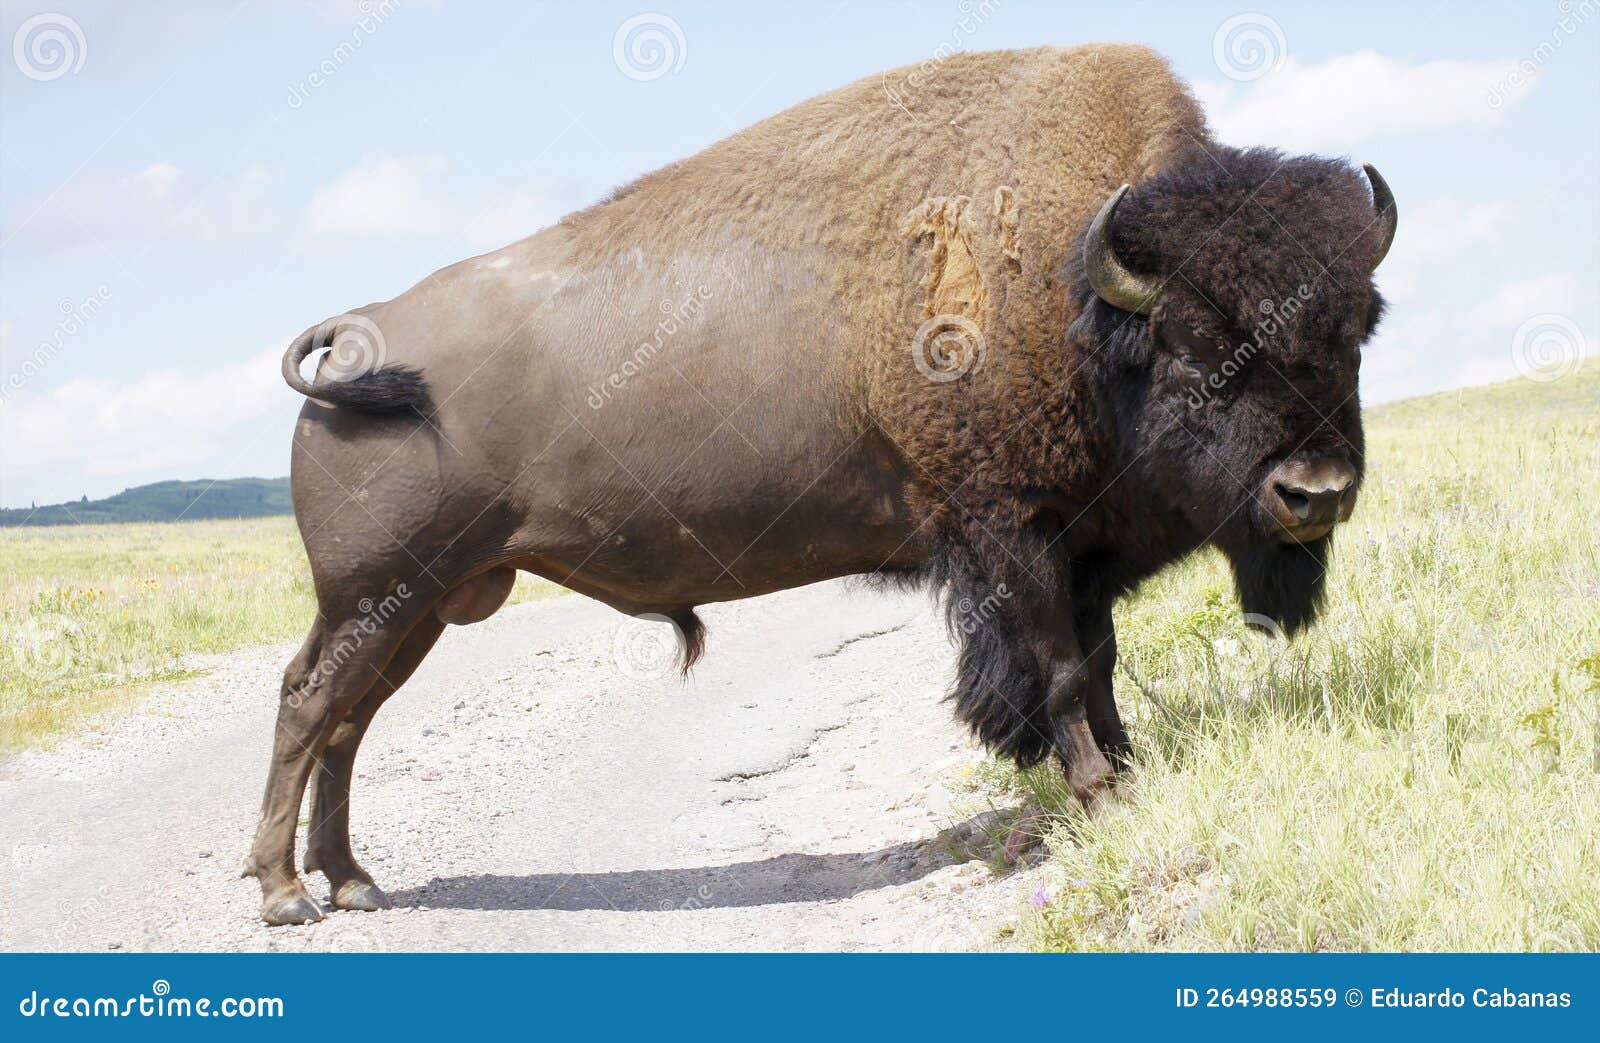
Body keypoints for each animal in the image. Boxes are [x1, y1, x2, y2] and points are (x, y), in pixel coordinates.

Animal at [250, 44, 1395, 925]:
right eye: (1197, 344)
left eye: (1355, 330)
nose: (1315, 492)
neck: (1077, 286)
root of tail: (360, 332)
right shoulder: (1010, 534)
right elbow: (1064, 670)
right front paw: (1101, 793)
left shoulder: (1079, 549)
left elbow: (1100, 663)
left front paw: (1126, 770)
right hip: (378, 592)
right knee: (309, 704)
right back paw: (283, 893)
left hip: (423, 603)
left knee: (347, 718)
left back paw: (351, 881)